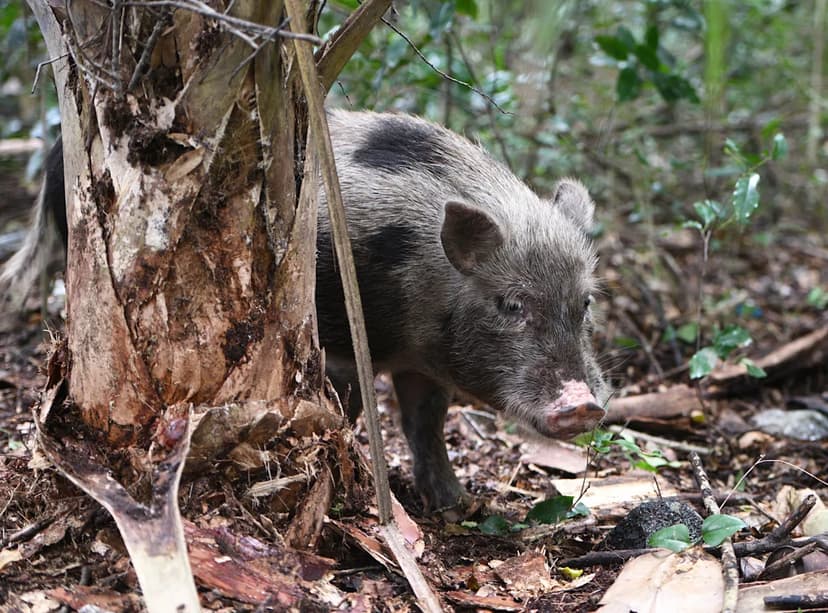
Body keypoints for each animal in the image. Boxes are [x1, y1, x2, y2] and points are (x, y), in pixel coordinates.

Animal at [0, 110, 608, 512]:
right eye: (512, 303)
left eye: (585, 303)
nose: (584, 404)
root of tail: (58, 151)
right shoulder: (339, 340)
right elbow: (349, 405)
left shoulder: (425, 364)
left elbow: (425, 422)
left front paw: (458, 505)